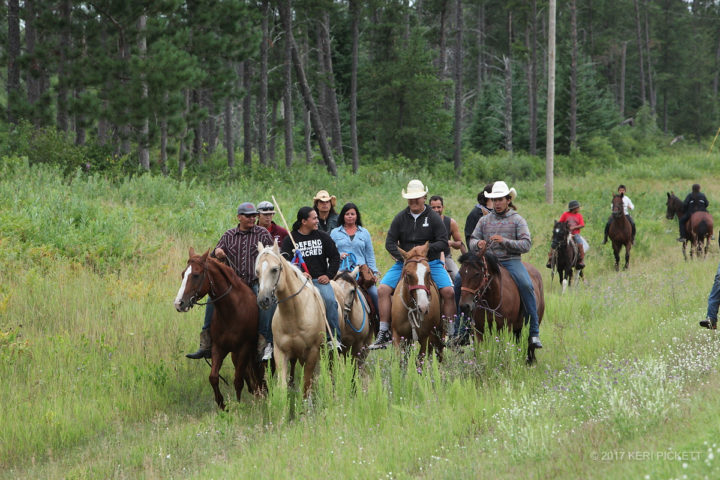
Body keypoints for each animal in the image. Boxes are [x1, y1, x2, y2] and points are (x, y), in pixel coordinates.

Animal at [173, 248, 262, 408]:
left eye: (196, 275)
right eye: (183, 274)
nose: (179, 303)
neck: (232, 311)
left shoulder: (244, 347)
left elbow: (238, 380)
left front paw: (238, 405)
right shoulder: (219, 347)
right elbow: (213, 377)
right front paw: (221, 404)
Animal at [252, 244, 322, 398]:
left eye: (274, 269)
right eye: (257, 271)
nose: (263, 300)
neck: (295, 315)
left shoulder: (312, 353)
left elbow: (306, 385)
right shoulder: (280, 352)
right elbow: (282, 388)